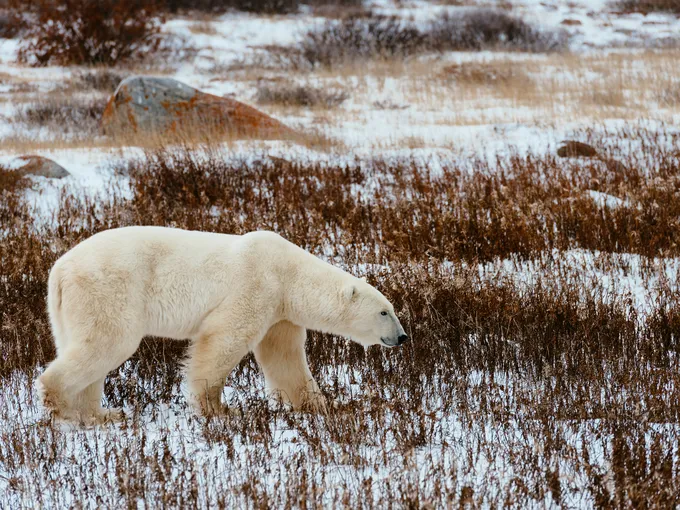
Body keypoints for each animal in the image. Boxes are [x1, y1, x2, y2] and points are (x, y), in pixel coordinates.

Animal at [37, 226, 408, 425]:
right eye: (384, 312)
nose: (403, 337)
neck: (288, 273)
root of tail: (60, 270)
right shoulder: (256, 285)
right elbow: (224, 339)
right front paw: (218, 408)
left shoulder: (280, 312)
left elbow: (284, 357)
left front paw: (320, 405)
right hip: (108, 290)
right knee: (108, 342)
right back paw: (63, 408)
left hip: (68, 309)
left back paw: (101, 414)